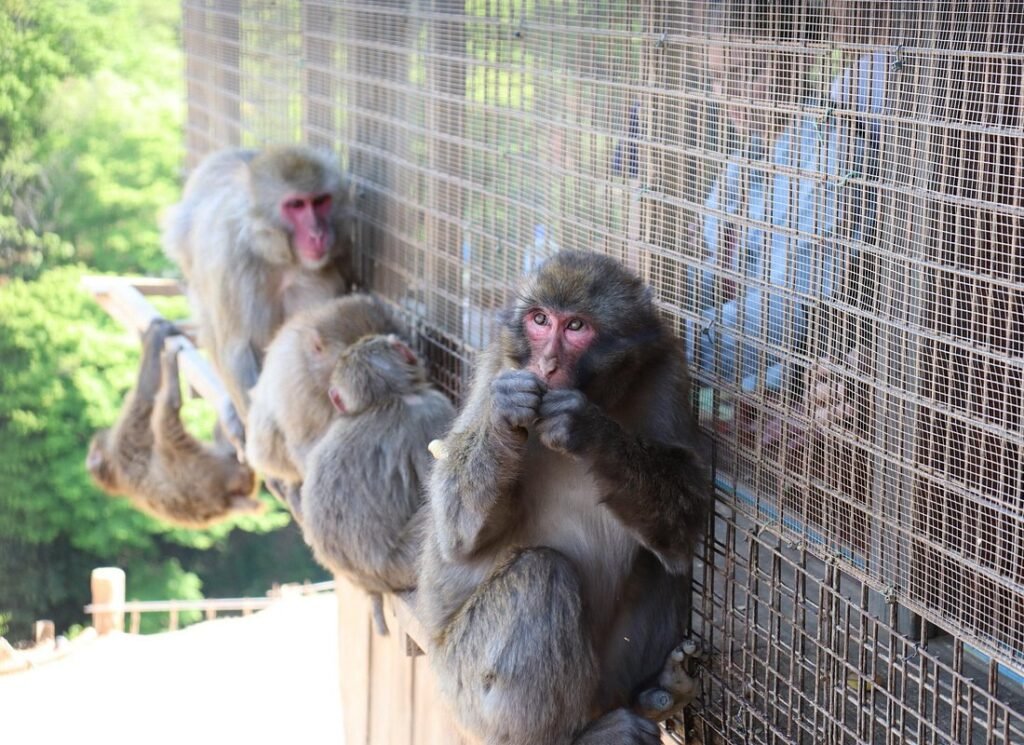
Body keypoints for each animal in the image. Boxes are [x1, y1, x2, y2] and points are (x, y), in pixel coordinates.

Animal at [86, 319, 262, 529]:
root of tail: (225, 499)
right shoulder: (123, 447)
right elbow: (144, 399)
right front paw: (154, 338)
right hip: (205, 459)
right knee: (167, 416)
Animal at [161, 145, 356, 449]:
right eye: (296, 205)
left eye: (320, 201)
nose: (318, 234)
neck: (275, 255)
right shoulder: (232, 259)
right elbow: (238, 350)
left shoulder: (329, 261)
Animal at [417, 250, 711, 745]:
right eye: (540, 320)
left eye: (575, 326)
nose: (548, 364)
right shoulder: (498, 364)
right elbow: (456, 535)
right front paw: (505, 415)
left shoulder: (667, 370)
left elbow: (686, 514)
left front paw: (589, 429)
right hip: (464, 684)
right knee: (541, 574)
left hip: (605, 676)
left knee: (664, 560)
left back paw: (652, 696)